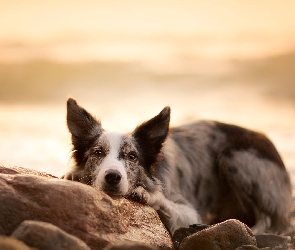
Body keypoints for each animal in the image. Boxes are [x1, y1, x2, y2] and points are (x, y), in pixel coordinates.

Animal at [63, 98, 292, 234]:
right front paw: (73, 176)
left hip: (233, 158)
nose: (112, 177)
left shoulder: (189, 211)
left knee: (268, 219)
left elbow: (165, 202)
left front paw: (148, 195)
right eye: (98, 153)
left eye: (132, 156)